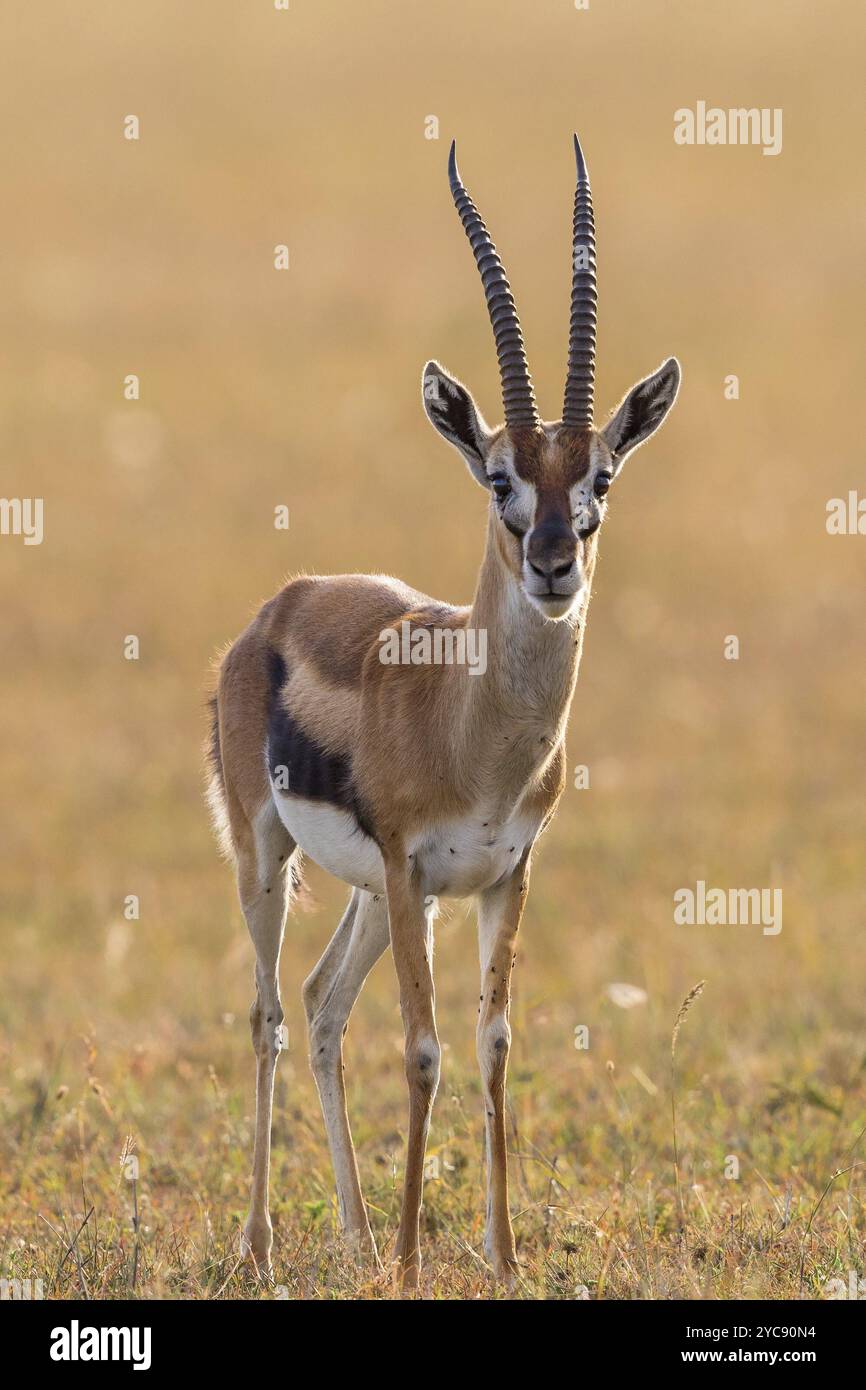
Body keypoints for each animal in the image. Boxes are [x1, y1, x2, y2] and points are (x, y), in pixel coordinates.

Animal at [206, 135, 680, 1291]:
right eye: (499, 477)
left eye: (600, 475)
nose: (553, 563)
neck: (475, 730)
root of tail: (279, 605)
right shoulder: (413, 867)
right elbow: (420, 1050)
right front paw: (422, 1263)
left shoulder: (504, 875)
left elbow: (491, 1045)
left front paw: (501, 1259)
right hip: (273, 858)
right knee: (269, 1012)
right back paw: (266, 1244)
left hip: (377, 901)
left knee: (323, 1007)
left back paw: (357, 1235)